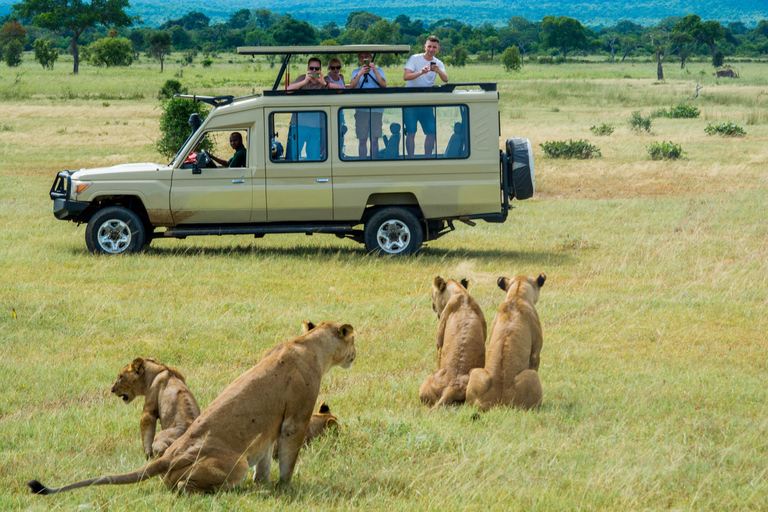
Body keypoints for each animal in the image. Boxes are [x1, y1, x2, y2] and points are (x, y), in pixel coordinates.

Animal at [27, 322, 356, 494]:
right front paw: (285, 488)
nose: (357, 354)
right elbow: (288, 459)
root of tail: (169, 456)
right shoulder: (295, 419)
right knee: (182, 485)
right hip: (234, 463)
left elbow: (263, 460)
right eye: (353, 341)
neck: (309, 344)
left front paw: (263, 485)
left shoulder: (267, 431)